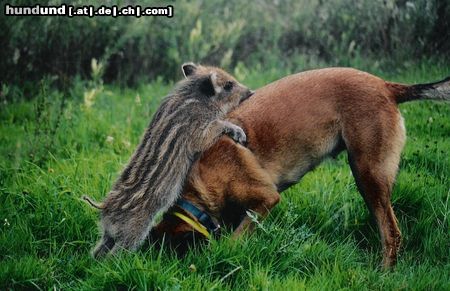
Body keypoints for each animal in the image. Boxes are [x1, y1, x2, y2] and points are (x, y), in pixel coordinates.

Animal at [84, 63, 253, 258]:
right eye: (228, 85)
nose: (251, 91)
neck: (197, 98)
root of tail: (104, 207)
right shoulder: (198, 132)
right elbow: (217, 126)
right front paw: (239, 132)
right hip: (133, 231)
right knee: (115, 255)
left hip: (109, 234)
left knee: (98, 250)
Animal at [149, 67, 448, 268]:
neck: (200, 188)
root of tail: (385, 86)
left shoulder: (267, 198)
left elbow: (237, 237)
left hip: (368, 174)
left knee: (392, 233)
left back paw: (383, 273)